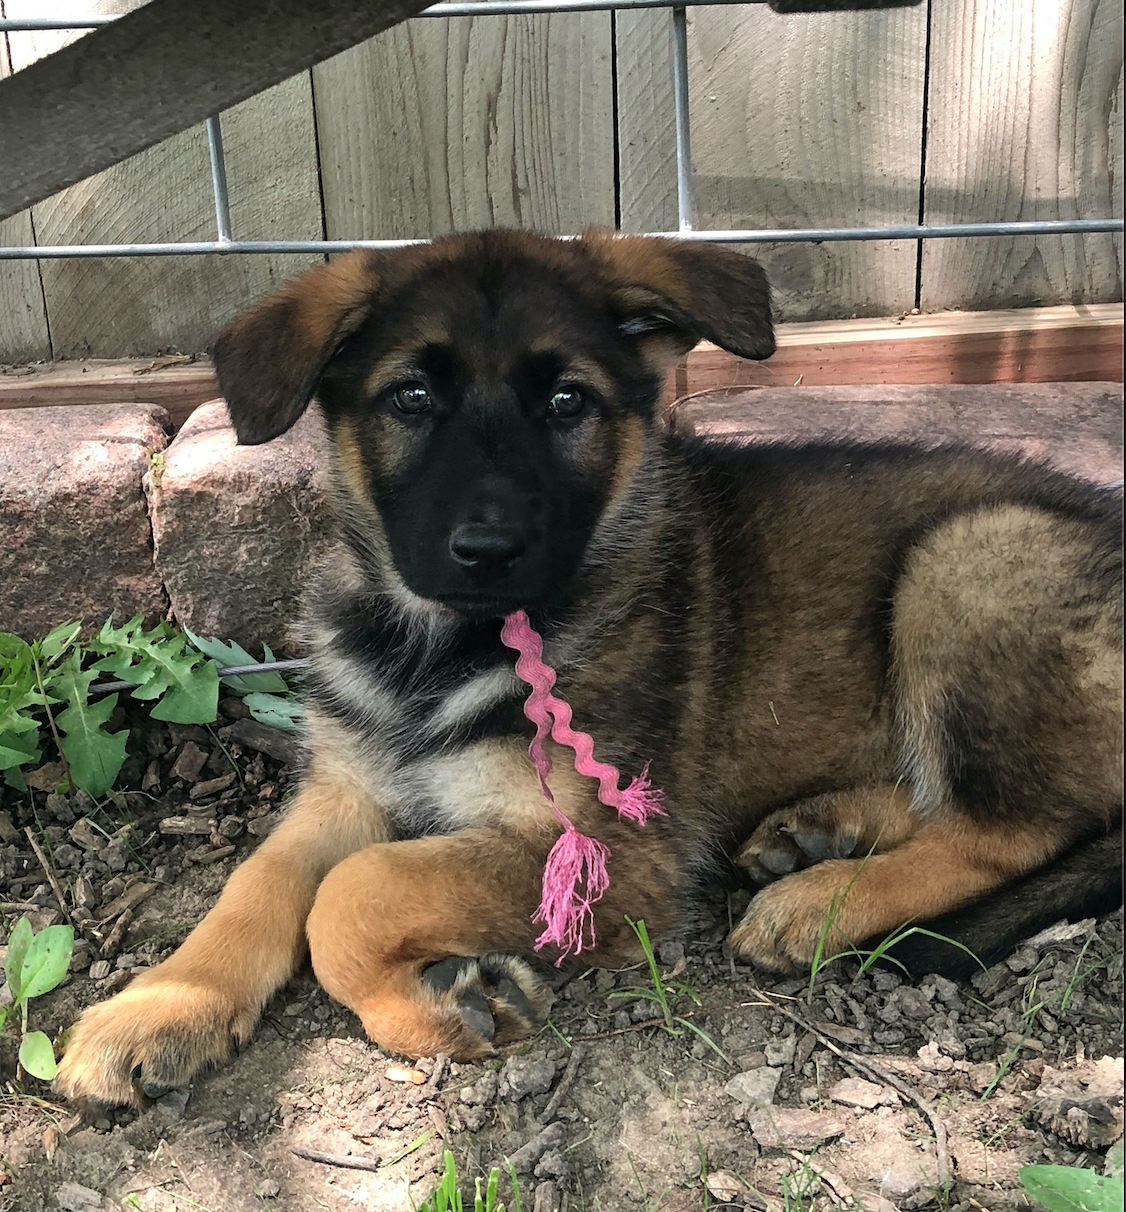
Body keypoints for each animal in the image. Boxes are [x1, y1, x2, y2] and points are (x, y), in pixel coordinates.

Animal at [54, 229, 1124, 1110]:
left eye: (568, 403)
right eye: (412, 399)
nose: (486, 550)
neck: (441, 648)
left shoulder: (613, 851)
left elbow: (354, 894)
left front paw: (441, 1004)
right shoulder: (349, 781)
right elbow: (263, 881)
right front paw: (159, 1005)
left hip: (973, 552)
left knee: (1011, 828)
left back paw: (817, 905)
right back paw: (820, 830)